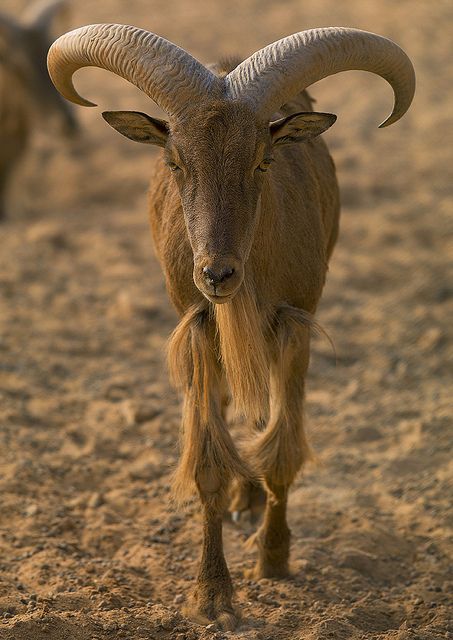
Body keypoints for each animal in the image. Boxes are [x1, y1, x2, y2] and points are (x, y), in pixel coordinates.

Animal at [46, 26, 414, 632]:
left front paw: (275, 558)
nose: (216, 274)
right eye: (175, 163)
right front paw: (213, 596)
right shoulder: (198, 327)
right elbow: (208, 463)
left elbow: (282, 447)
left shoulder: (295, 321)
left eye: (262, 162)